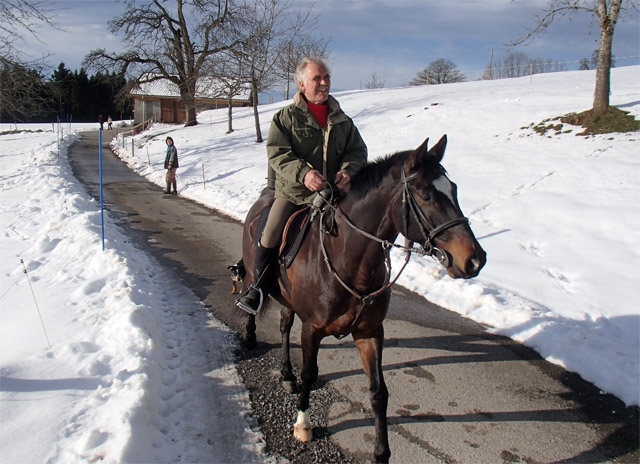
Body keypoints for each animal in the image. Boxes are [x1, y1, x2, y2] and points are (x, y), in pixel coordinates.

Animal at [239, 135, 484, 464]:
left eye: (454, 189)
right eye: (425, 195)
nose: (475, 260)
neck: (349, 259)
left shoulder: (370, 332)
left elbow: (379, 391)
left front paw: (382, 452)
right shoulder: (312, 329)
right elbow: (310, 373)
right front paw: (303, 424)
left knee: (284, 324)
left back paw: (286, 373)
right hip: (255, 272)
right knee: (254, 300)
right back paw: (251, 334)